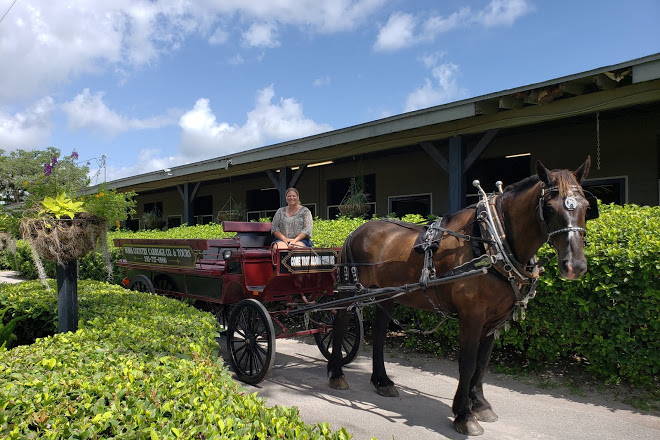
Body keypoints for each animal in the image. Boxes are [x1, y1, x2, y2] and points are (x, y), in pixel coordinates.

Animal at [328, 156, 596, 434]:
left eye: (587, 206)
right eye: (550, 207)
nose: (575, 266)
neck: (491, 240)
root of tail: (355, 231)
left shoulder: (494, 318)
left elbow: (482, 362)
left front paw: (480, 404)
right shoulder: (472, 315)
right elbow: (467, 362)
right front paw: (464, 415)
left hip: (387, 296)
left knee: (380, 334)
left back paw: (382, 381)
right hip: (350, 292)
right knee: (340, 325)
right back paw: (337, 374)